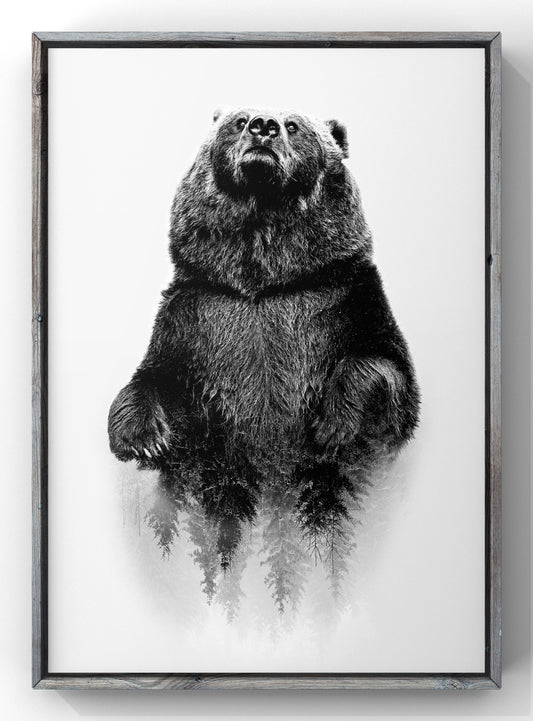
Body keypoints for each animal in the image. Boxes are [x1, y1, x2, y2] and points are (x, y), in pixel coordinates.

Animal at [108, 107, 420, 568]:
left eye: (294, 125)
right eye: (237, 121)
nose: (263, 125)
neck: (263, 282)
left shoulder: (345, 300)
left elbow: (388, 373)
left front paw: (333, 425)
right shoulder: (196, 314)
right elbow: (160, 380)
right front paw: (144, 438)